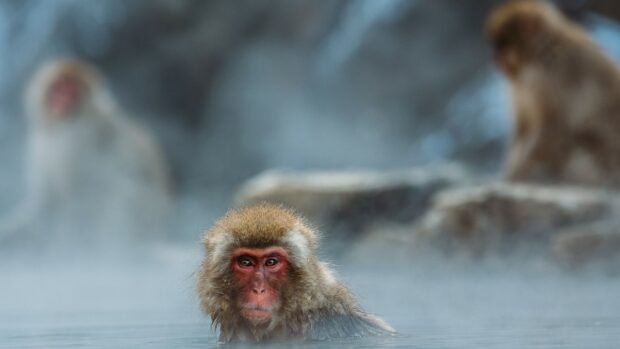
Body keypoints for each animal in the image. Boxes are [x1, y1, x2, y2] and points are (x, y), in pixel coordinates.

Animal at [486, 0, 620, 185]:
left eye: (503, 44)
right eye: (496, 44)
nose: (495, 57)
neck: (541, 54)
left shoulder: (554, 79)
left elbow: (554, 129)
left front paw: (517, 174)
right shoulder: (521, 87)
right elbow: (523, 128)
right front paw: (511, 172)